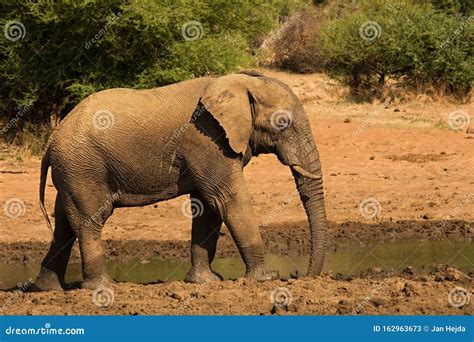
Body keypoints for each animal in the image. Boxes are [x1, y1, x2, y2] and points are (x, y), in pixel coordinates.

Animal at [35, 71, 328, 290]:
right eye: (283, 123)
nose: (302, 276)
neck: (236, 83)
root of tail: (51, 140)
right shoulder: (207, 139)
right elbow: (227, 200)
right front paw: (265, 279)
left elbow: (208, 208)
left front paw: (205, 282)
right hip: (83, 166)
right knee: (91, 220)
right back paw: (102, 288)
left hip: (73, 169)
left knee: (64, 224)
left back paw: (49, 288)